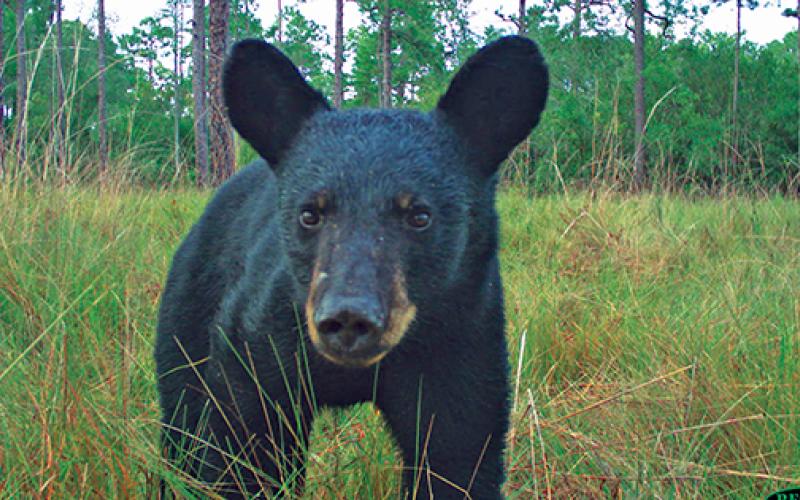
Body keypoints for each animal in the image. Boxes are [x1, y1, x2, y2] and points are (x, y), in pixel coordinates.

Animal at [155, 35, 548, 499]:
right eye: (310, 213)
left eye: (420, 215)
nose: (347, 317)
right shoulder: (256, 347)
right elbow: (241, 452)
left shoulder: (461, 345)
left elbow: (457, 455)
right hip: (188, 312)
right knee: (180, 422)